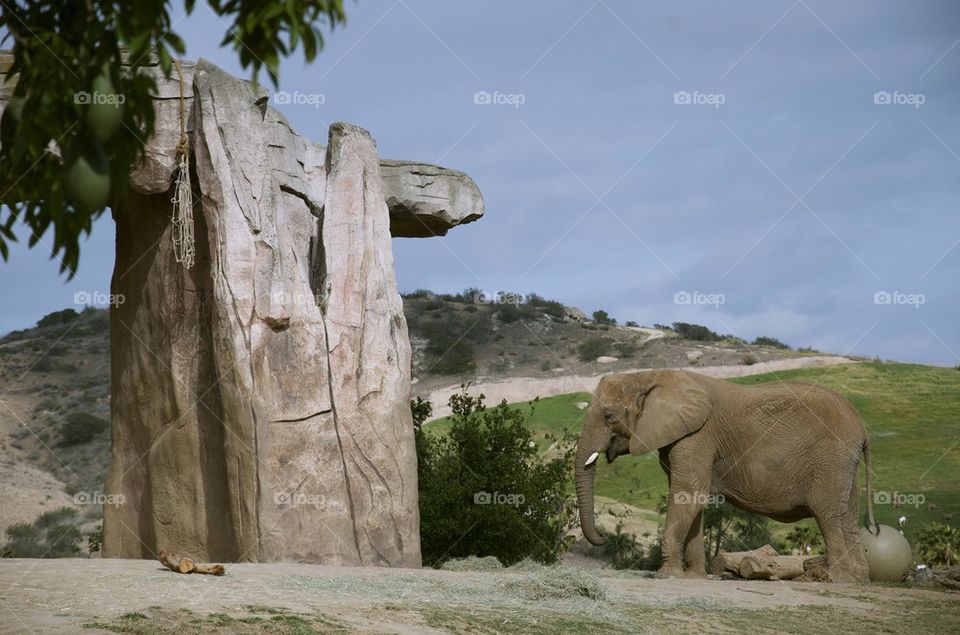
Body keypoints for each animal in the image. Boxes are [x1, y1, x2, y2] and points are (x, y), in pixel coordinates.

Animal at [575, 369, 878, 582]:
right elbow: (692, 500)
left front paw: (667, 576)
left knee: (829, 515)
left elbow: (688, 495)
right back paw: (857, 579)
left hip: (830, 460)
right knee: (848, 517)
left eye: (609, 415)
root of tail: (862, 428)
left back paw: (833, 579)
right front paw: (694, 577)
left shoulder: (697, 436)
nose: (602, 538)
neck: (648, 376)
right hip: (841, 464)